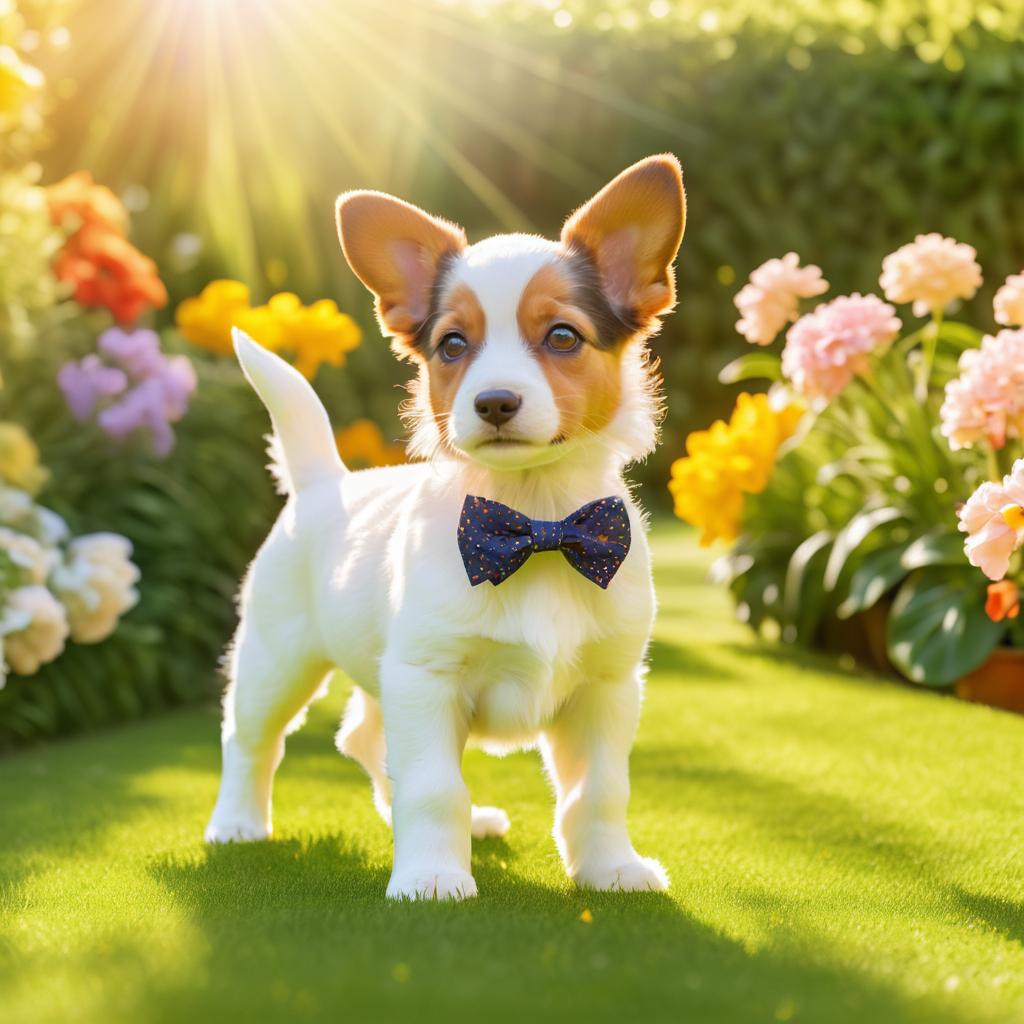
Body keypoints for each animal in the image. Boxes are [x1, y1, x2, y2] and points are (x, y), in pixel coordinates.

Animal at [205, 155, 688, 901]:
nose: (494, 402)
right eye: (452, 344)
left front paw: (611, 868)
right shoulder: (426, 677)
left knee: (363, 739)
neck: (536, 524)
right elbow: (434, 787)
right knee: (251, 739)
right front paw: (431, 876)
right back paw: (236, 823)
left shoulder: (607, 689)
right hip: (276, 661)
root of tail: (322, 481)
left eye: (563, 337)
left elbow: (601, 792)